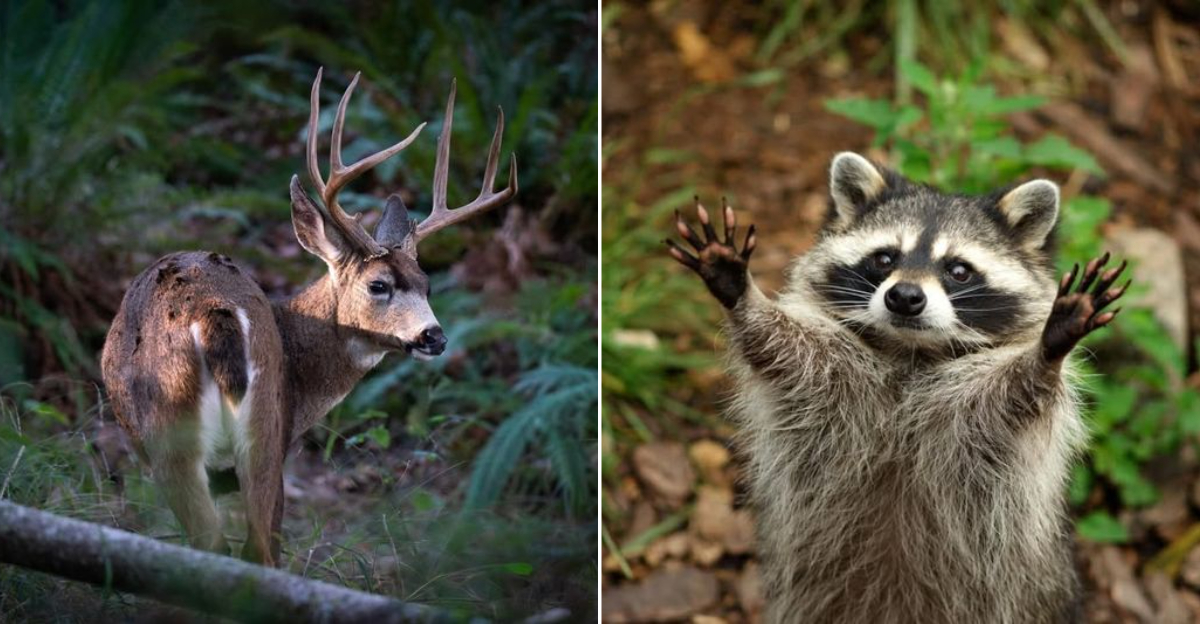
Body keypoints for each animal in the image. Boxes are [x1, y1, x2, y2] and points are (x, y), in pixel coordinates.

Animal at [101, 68, 517, 566]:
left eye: (427, 284)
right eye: (379, 285)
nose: (434, 337)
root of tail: (213, 313)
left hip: (200, 438)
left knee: (231, 548)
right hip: (247, 434)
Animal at [666, 152, 1129, 624]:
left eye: (958, 270)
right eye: (885, 258)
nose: (905, 296)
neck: (910, 352)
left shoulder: (977, 412)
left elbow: (1014, 395)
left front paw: (1047, 352)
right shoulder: (831, 376)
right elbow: (783, 350)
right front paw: (743, 297)